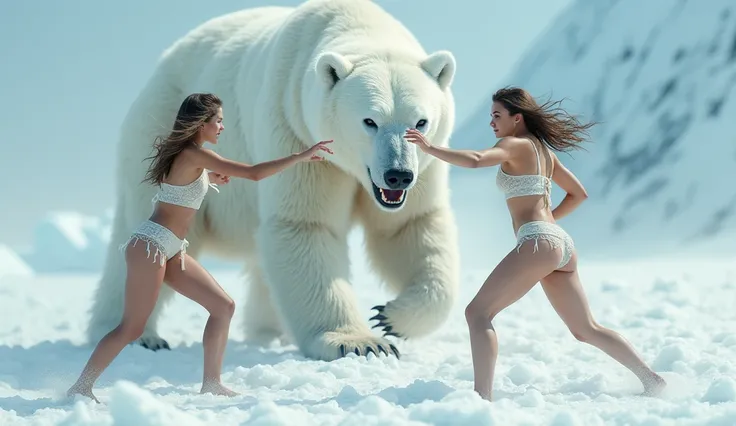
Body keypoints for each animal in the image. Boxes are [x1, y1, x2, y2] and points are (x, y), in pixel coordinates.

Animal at [87, 0, 460, 362]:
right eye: (370, 121)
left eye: (421, 121)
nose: (398, 175)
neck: (356, 22)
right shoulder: (294, 127)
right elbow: (304, 224)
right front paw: (358, 343)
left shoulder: (427, 165)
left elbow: (410, 227)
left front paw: (391, 316)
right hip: (162, 127)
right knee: (149, 229)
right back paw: (137, 334)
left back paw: (267, 332)